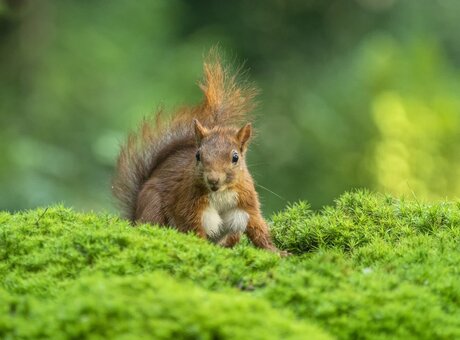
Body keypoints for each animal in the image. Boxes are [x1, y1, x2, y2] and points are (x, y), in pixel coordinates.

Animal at [112, 51, 284, 254]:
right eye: (198, 156)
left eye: (235, 157)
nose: (213, 179)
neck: (220, 192)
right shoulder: (189, 205)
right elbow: (194, 230)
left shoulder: (246, 203)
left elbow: (258, 228)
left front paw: (277, 251)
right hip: (152, 204)